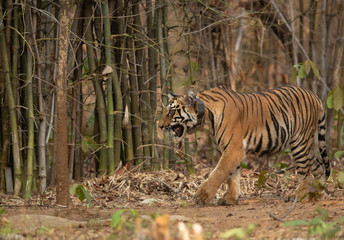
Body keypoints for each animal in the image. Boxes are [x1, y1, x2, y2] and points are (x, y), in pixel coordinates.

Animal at [159, 85, 330, 205]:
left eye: (170, 112)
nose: (159, 126)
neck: (206, 116)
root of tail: (314, 96)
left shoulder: (234, 149)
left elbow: (218, 173)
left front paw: (201, 196)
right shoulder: (229, 149)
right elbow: (232, 175)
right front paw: (231, 198)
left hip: (299, 141)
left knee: (305, 171)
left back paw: (297, 195)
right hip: (307, 146)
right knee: (318, 168)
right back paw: (317, 194)